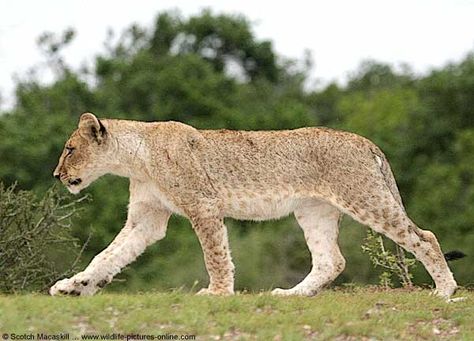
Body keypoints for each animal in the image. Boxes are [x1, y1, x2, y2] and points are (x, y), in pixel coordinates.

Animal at [51, 112, 460, 298]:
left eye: (70, 148)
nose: (56, 175)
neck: (136, 158)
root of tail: (367, 142)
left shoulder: (203, 205)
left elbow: (215, 255)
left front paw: (217, 293)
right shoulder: (146, 220)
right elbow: (108, 256)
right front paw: (76, 286)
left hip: (365, 197)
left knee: (425, 237)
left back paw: (445, 290)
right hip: (313, 210)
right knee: (331, 260)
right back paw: (292, 295)